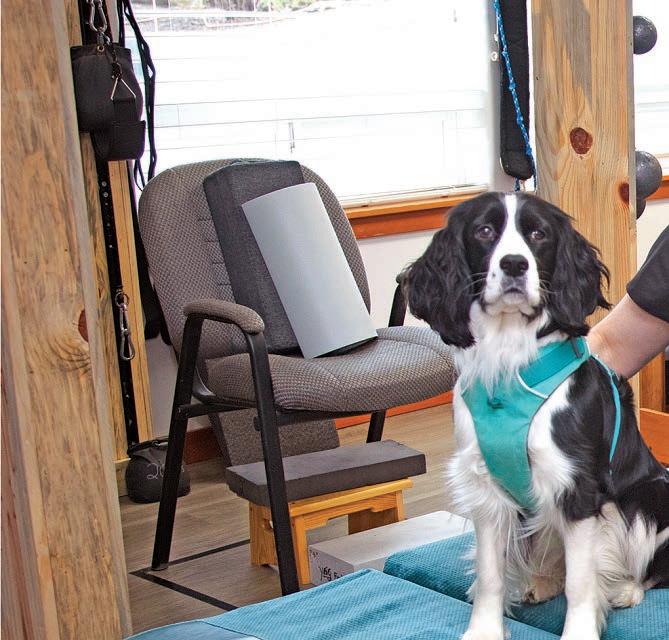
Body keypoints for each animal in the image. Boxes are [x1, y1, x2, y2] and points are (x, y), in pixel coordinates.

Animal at [404, 192, 669, 640]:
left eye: (538, 234)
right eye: (484, 230)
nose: (514, 264)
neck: (508, 366)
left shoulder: (578, 488)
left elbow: (581, 581)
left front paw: (580, 631)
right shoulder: (485, 488)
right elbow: (491, 574)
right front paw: (484, 631)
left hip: (648, 498)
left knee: (648, 567)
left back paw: (625, 589)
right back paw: (542, 582)